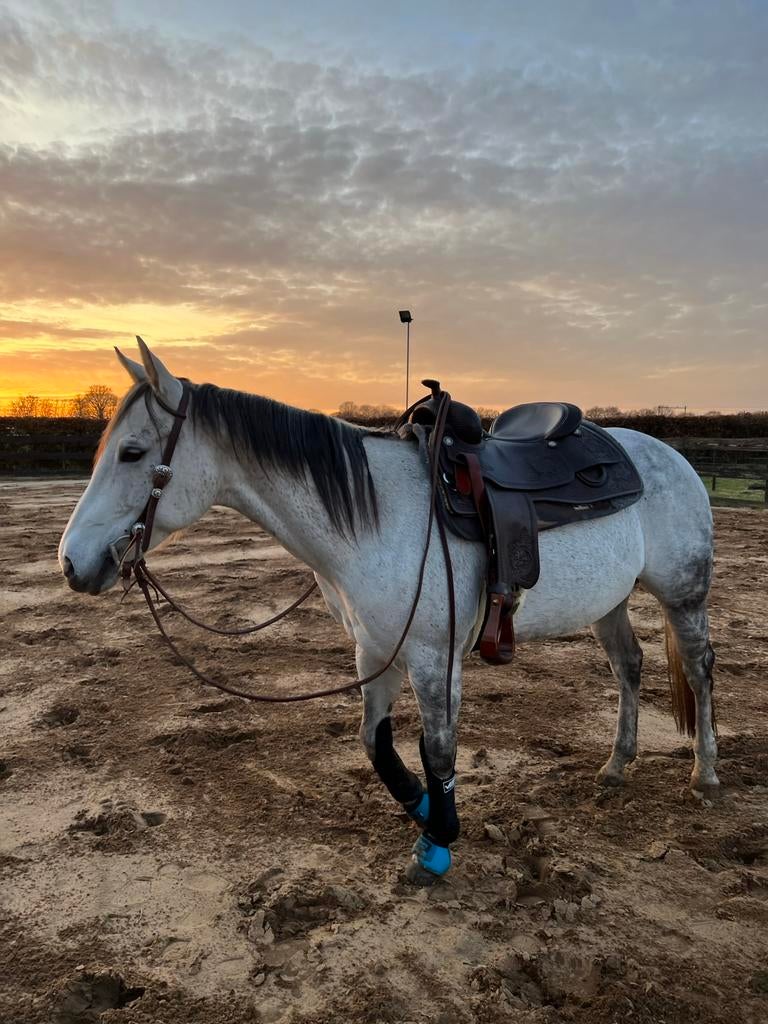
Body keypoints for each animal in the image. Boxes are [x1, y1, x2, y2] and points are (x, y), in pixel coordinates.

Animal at [58, 340, 719, 884]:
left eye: (132, 452)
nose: (71, 562)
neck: (373, 517)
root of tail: (669, 454)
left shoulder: (434, 656)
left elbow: (440, 750)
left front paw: (438, 844)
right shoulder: (375, 648)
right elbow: (374, 742)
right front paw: (422, 807)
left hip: (683, 595)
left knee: (700, 668)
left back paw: (705, 774)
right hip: (610, 601)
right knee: (630, 666)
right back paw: (616, 765)